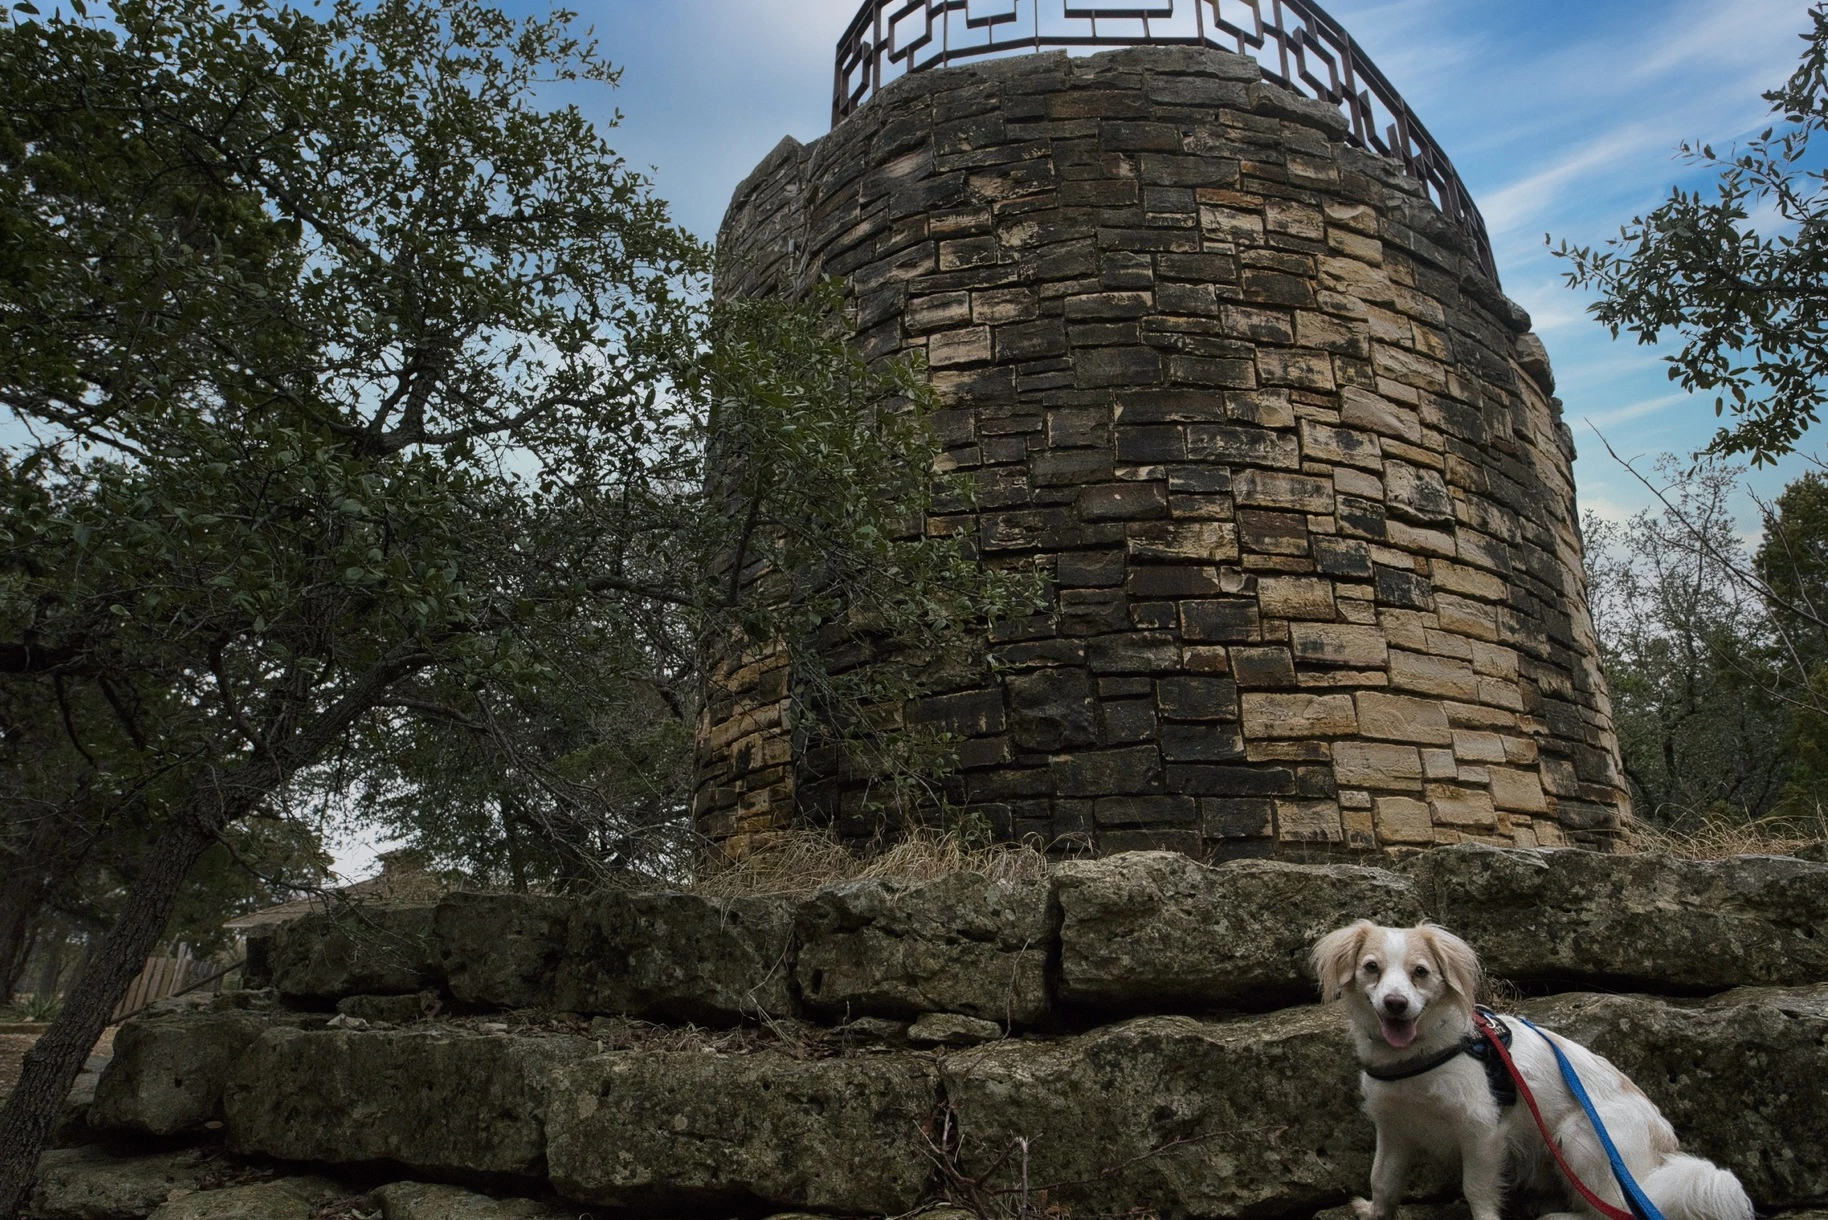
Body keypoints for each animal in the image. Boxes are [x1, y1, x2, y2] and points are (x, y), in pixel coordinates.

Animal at [1316, 921, 1754, 1220]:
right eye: (1371, 967)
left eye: (1420, 972)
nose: (1395, 1004)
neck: (1420, 1055)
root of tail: (1664, 1142)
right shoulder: (1394, 1129)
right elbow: (1383, 1181)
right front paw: (1374, 1211)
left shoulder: (1482, 1131)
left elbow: (1476, 1189)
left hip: (1578, 1136)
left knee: (1613, 1212)